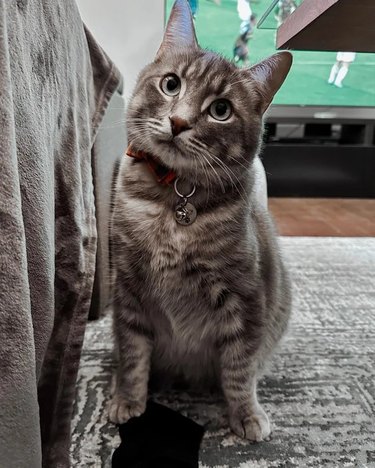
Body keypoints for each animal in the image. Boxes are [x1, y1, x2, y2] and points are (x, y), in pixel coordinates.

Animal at [108, 0, 294, 442]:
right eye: (171, 84)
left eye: (220, 110)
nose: (178, 122)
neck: (173, 200)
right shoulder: (127, 289)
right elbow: (132, 353)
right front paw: (127, 399)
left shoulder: (246, 297)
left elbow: (240, 368)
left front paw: (246, 415)